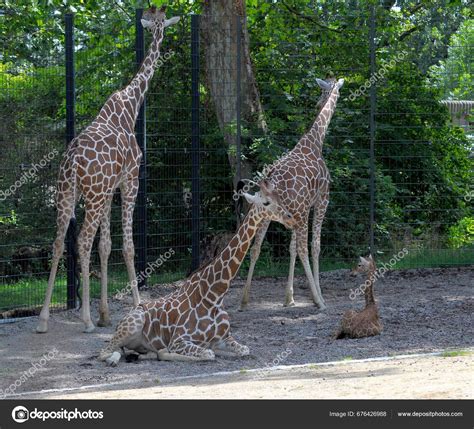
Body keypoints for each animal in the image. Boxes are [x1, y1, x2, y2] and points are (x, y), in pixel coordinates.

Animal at [36, 6, 181, 334]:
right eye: (160, 24)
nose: (161, 33)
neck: (131, 105)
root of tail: (72, 161)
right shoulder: (129, 181)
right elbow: (127, 246)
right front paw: (137, 305)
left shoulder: (109, 189)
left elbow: (106, 246)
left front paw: (105, 313)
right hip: (92, 194)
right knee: (81, 240)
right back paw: (85, 320)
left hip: (68, 194)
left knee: (58, 241)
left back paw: (44, 319)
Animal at [98, 180, 294, 364]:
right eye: (267, 202)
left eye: (279, 197)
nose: (290, 217)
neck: (215, 295)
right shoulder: (179, 340)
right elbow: (208, 354)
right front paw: (166, 352)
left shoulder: (224, 338)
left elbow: (244, 350)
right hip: (134, 322)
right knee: (105, 352)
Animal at [241, 77, 344, 310]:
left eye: (321, 92)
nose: (318, 103)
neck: (315, 141)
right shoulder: (321, 200)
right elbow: (314, 246)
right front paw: (315, 294)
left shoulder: (296, 213)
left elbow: (290, 247)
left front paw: (289, 297)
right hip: (298, 212)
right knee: (303, 248)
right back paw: (319, 301)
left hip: (268, 214)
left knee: (256, 247)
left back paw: (244, 300)